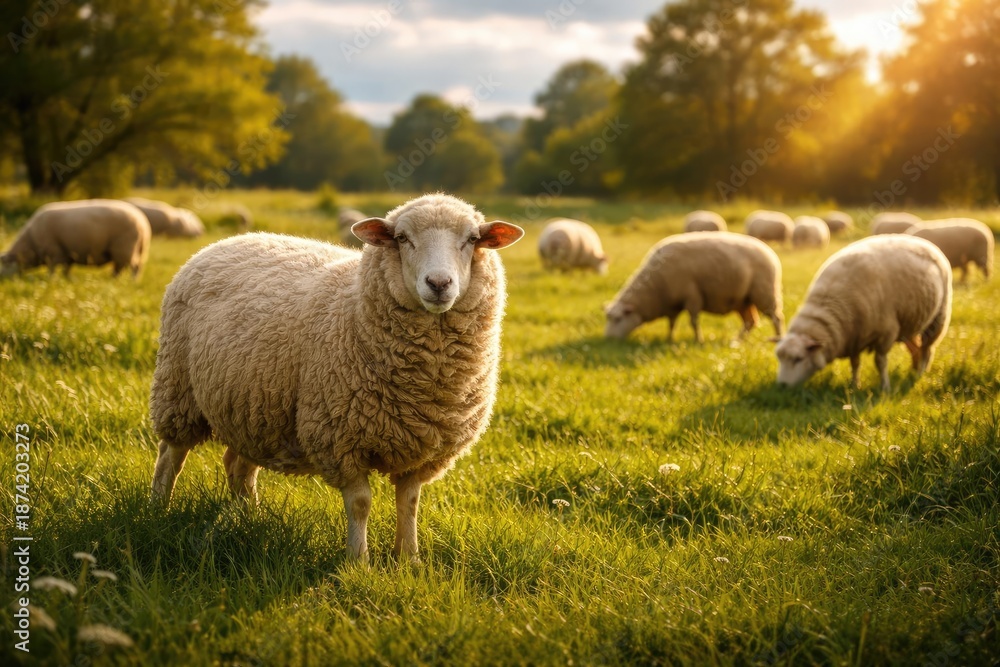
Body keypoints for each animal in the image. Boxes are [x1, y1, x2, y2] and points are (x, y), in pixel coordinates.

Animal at [1, 199, 151, 279]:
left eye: (5, 265)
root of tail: (143, 223)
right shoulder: (67, 252)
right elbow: (66, 268)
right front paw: (66, 278)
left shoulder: (53, 251)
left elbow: (52, 268)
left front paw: (51, 279)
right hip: (128, 251)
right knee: (120, 268)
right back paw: (113, 279)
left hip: (124, 248)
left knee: (134, 267)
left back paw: (132, 281)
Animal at [148, 194, 524, 562]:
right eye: (402, 239)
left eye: (472, 240)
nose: (439, 284)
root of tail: (226, 241)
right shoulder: (340, 438)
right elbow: (360, 503)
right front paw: (359, 562)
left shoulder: (421, 449)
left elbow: (410, 502)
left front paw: (409, 559)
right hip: (177, 389)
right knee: (171, 456)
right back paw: (158, 511)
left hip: (254, 407)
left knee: (238, 466)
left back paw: (248, 518)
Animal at [604, 232, 784, 343]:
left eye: (618, 319)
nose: (609, 339)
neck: (654, 288)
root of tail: (770, 252)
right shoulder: (672, 304)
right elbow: (671, 323)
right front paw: (669, 339)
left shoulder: (692, 296)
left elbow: (693, 322)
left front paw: (699, 340)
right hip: (743, 300)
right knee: (750, 322)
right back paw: (737, 341)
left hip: (765, 293)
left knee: (776, 318)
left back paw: (777, 338)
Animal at [774, 235, 952, 391]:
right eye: (779, 357)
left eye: (798, 359)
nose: (782, 386)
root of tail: (925, 242)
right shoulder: (854, 337)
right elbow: (855, 363)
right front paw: (855, 385)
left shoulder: (886, 332)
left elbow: (880, 362)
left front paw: (885, 387)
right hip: (910, 323)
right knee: (916, 348)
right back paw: (914, 370)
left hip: (938, 318)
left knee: (927, 349)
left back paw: (920, 373)